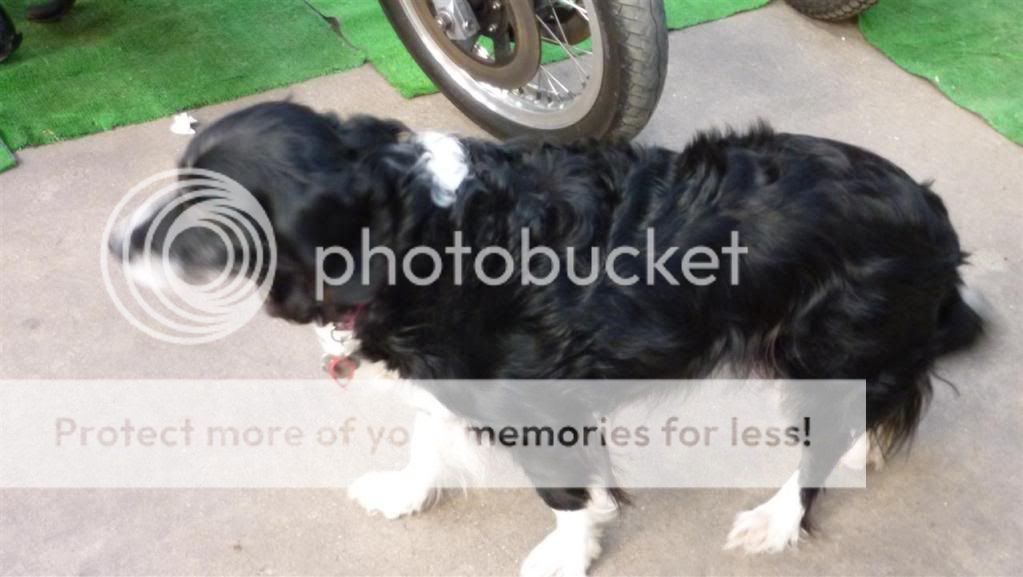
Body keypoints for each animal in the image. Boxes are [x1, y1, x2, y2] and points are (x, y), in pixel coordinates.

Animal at [112, 101, 982, 572]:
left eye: (200, 220)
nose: (116, 243)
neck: (408, 228)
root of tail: (930, 210)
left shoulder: (536, 402)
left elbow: (565, 492)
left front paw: (568, 552)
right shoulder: (448, 374)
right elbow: (427, 436)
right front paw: (405, 492)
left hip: (821, 346)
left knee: (820, 441)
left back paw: (776, 519)